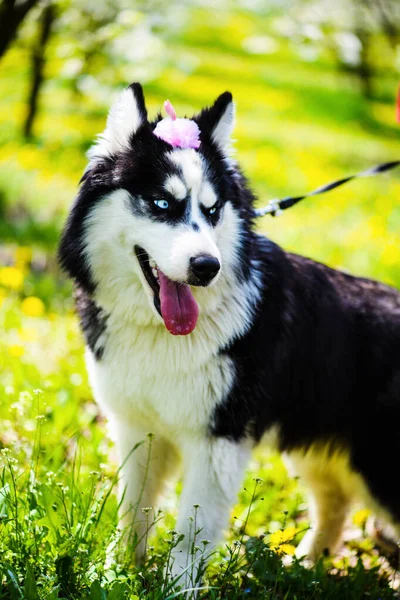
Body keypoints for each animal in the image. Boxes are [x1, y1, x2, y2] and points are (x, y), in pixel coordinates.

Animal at [59, 83, 400, 584]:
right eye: (162, 204)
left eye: (212, 209)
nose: (206, 267)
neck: (163, 336)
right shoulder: (138, 428)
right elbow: (133, 510)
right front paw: (117, 573)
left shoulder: (218, 440)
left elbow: (191, 531)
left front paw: (176, 587)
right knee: (336, 500)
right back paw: (308, 563)